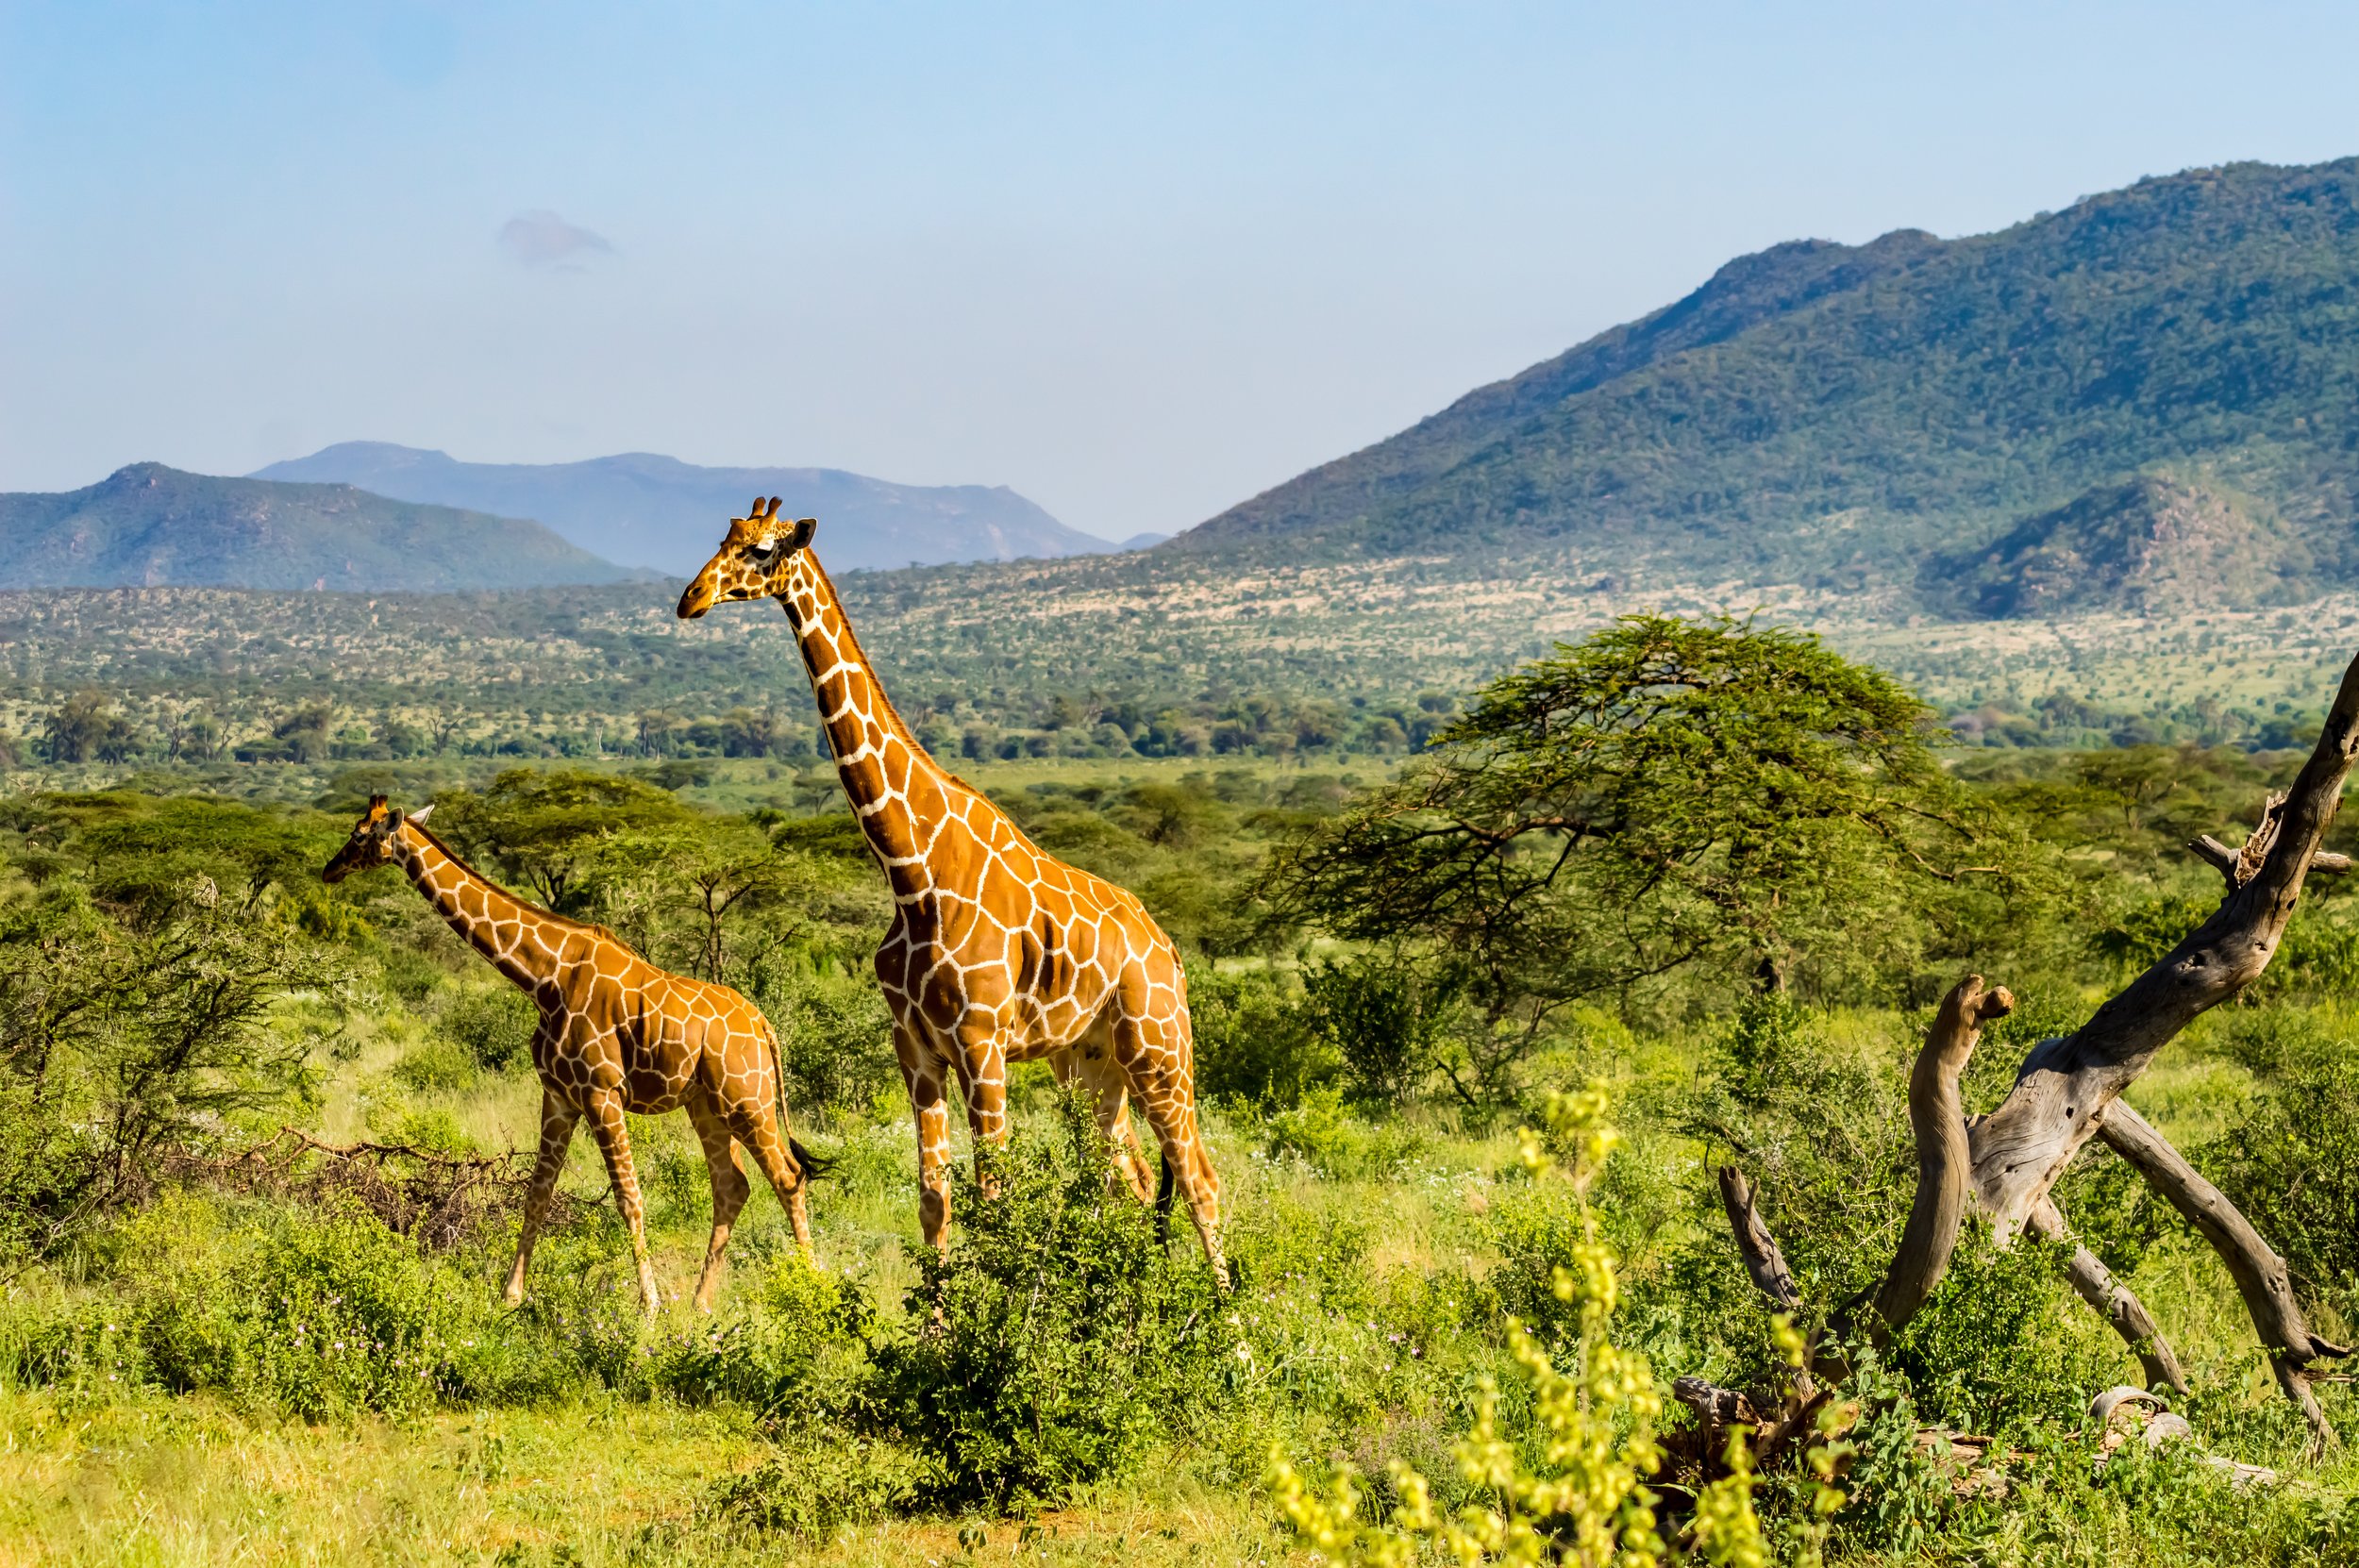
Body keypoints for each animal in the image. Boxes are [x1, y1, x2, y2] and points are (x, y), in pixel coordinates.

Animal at [323, 787, 821, 1310]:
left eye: (360, 835)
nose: (329, 870)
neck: (544, 977)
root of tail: (764, 1024)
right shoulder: (559, 1094)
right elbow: (537, 1193)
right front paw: (511, 1295)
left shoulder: (602, 1093)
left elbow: (629, 1198)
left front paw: (649, 1306)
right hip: (705, 1103)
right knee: (732, 1185)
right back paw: (700, 1304)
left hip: (747, 1098)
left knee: (787, 1176)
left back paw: (816, 1287)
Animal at [675, 494, 1227, 1282]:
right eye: (723, 537)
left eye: (759, 551)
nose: (690, 598)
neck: (912, 872)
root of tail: (1168, 949)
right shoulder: (916, 1047)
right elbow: (934, 1202)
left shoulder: (981, 1043)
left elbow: (994, 1200)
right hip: (1090, 1064)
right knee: (1131, 1178)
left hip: (1160, 1048)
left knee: (1199, 1178)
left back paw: (1228, 1315)